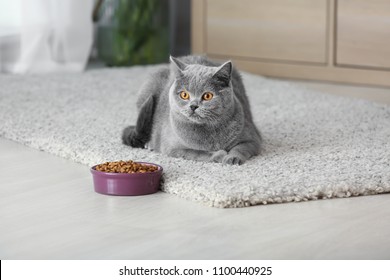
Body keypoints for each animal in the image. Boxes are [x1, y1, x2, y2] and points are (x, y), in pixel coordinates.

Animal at [122, 55, 262, 164]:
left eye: (207, 96)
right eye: (184, 95)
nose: (193, 106)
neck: (209, 132)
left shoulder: (253, 138)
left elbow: (241, 148)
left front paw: (232, 158)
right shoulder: (173, 148)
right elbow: (197, 152)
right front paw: (219, 154)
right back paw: (150, 144)